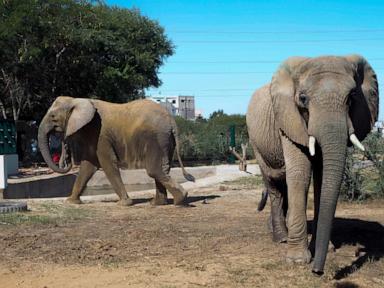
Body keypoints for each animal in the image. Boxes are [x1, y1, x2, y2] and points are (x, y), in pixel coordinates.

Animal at [38, 98, 195, 206]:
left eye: (53, 117)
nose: (65, 158)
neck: (76, 99)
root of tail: (172, 121)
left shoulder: (101, 135)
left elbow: (107, 163)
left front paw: (124, 204)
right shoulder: (92, 135)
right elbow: (88, 166)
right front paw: (71, 202)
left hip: (156, 138)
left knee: (154, 170)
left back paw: (180, 200)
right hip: (166, 140)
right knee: (162, 169)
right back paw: (158, 203)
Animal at [246, 55, 378, 274]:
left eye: (352, 97)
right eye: (303, 98)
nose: (318, 271)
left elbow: (322, 176)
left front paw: (327, 249)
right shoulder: (289, 120)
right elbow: (300, 173)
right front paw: (298, 260)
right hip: (255, 141)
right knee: (274, 185)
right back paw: (281, 238)